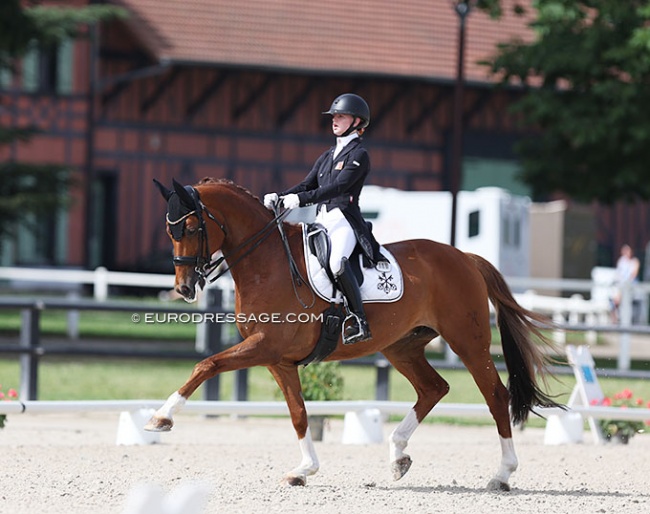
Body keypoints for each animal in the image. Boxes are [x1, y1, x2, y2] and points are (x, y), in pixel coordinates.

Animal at [146, 176, 556, 488]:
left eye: (193, 227)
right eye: (169, 229)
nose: (184, 289)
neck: (268, 264)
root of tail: (465, 257)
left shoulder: (265, 347)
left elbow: (207, 365)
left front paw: (162, 418)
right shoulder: (279, 360)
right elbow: (298, 413)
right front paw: (304, 470)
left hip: (468, 343)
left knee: (495, 396)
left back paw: (502, 474)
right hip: (402, 347)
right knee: (433, 388)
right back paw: (398, 455)